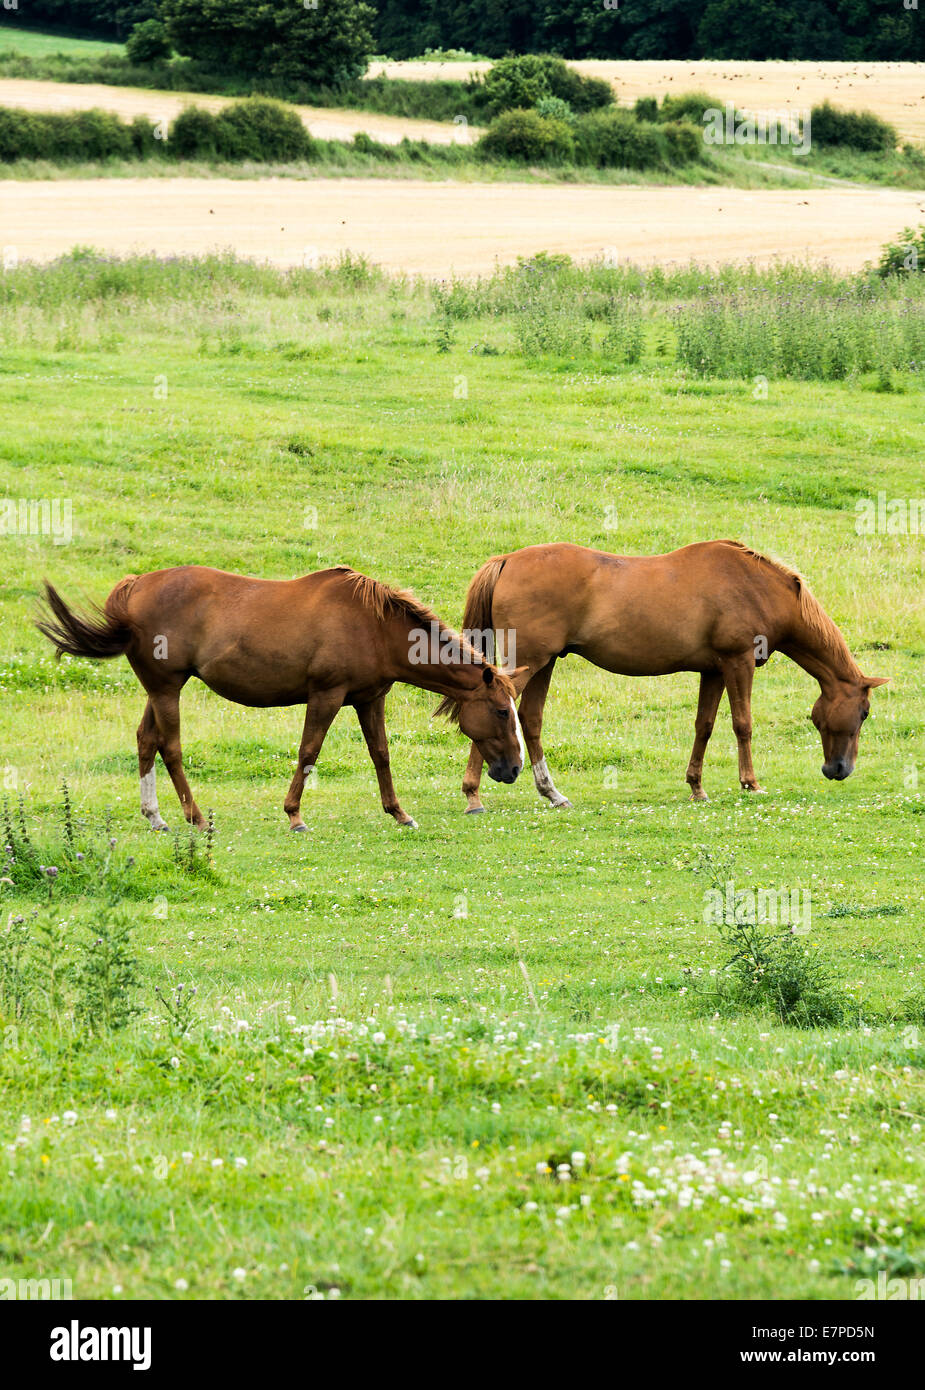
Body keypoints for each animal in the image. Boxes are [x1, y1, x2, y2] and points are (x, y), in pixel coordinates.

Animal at [37, 565, 526, 832]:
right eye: (502, 711)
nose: (515, 769)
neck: (372, 624)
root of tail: (137, 585)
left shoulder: (370, 699)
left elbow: (381, 755)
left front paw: (398, 812)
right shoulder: (326, 696)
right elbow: (309, 751)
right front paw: (294, 815)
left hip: (160, 691)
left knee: (145, 740)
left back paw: (155, 815)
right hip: (166, 689)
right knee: (170, 747)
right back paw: (194, 816)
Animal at [454, 540, 888, 812]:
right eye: (864, 713)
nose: (838, 770)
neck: (757, 586)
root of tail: (507, 560)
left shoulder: (713, 670)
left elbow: (704, 726)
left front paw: (696, 786)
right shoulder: (738, 662)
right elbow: (742, 723)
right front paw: (750, 782)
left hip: (543, 664)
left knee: (530, 719)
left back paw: (551, 792)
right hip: (529, 663)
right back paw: (474, 795)